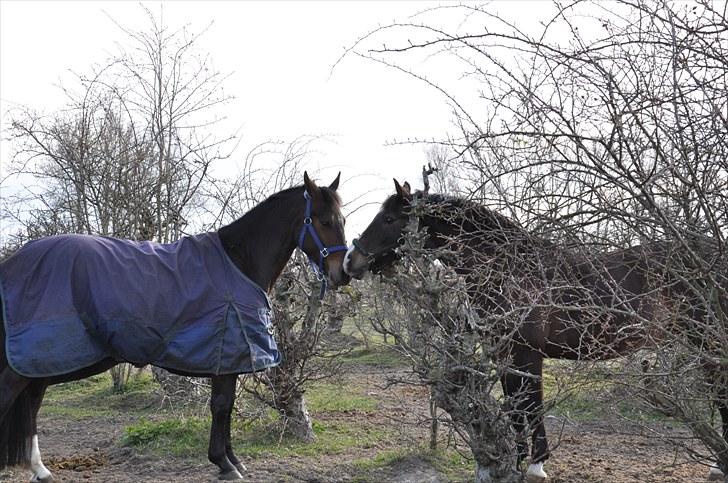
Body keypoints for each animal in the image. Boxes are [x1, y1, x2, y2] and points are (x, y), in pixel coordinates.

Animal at [344, 180, 728, 482]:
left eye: (389, 219)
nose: (351, 262)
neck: (506, 267)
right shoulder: (504, 354)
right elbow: (517, 408)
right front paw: (520, 462)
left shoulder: (525, 354)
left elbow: (529, 405)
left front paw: (533, 466)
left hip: (707, 340)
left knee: (720, 394)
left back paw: (718, 465)